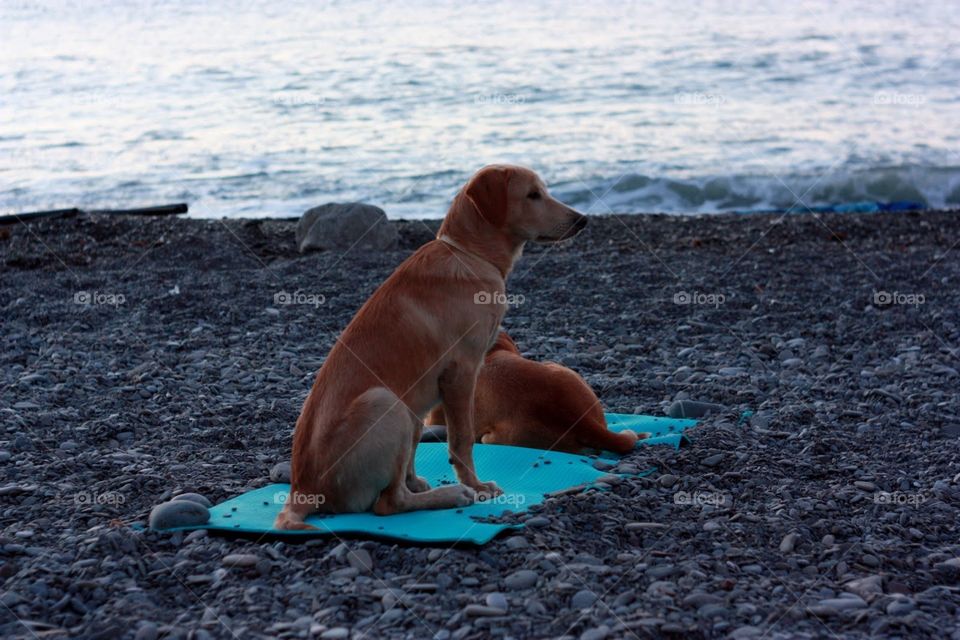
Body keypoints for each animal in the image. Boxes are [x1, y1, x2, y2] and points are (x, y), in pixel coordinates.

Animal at [274, 165, 588, 528]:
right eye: (533, 195)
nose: (583, 220)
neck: (470, 255)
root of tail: (303, 490)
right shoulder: (462, 373)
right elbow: (462, 440)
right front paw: (477, 486)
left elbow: (420, 451)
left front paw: (426, 480)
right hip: (385, 402)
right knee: (389, 503)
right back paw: (451, 495)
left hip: (405, 408)